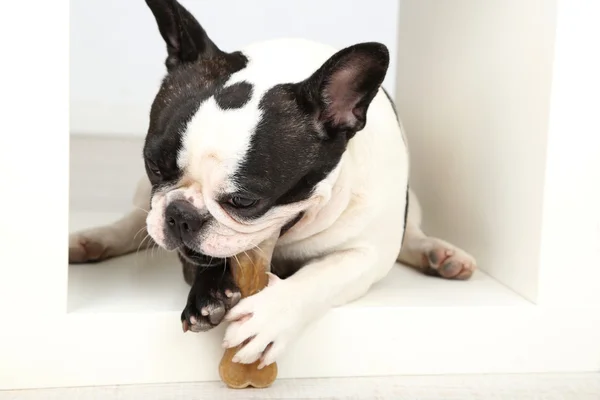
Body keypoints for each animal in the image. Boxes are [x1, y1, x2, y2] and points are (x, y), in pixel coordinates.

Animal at [68, 0, 476, 368]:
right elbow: (203, 258)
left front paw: (269, 319)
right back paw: (93, 241)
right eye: (154, 166)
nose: (180, 216)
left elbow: (321, 275)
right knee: (132, 222)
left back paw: (439, 254)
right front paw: (208, 294)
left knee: (412, 234)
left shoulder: (366, 253)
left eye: (244, 201)